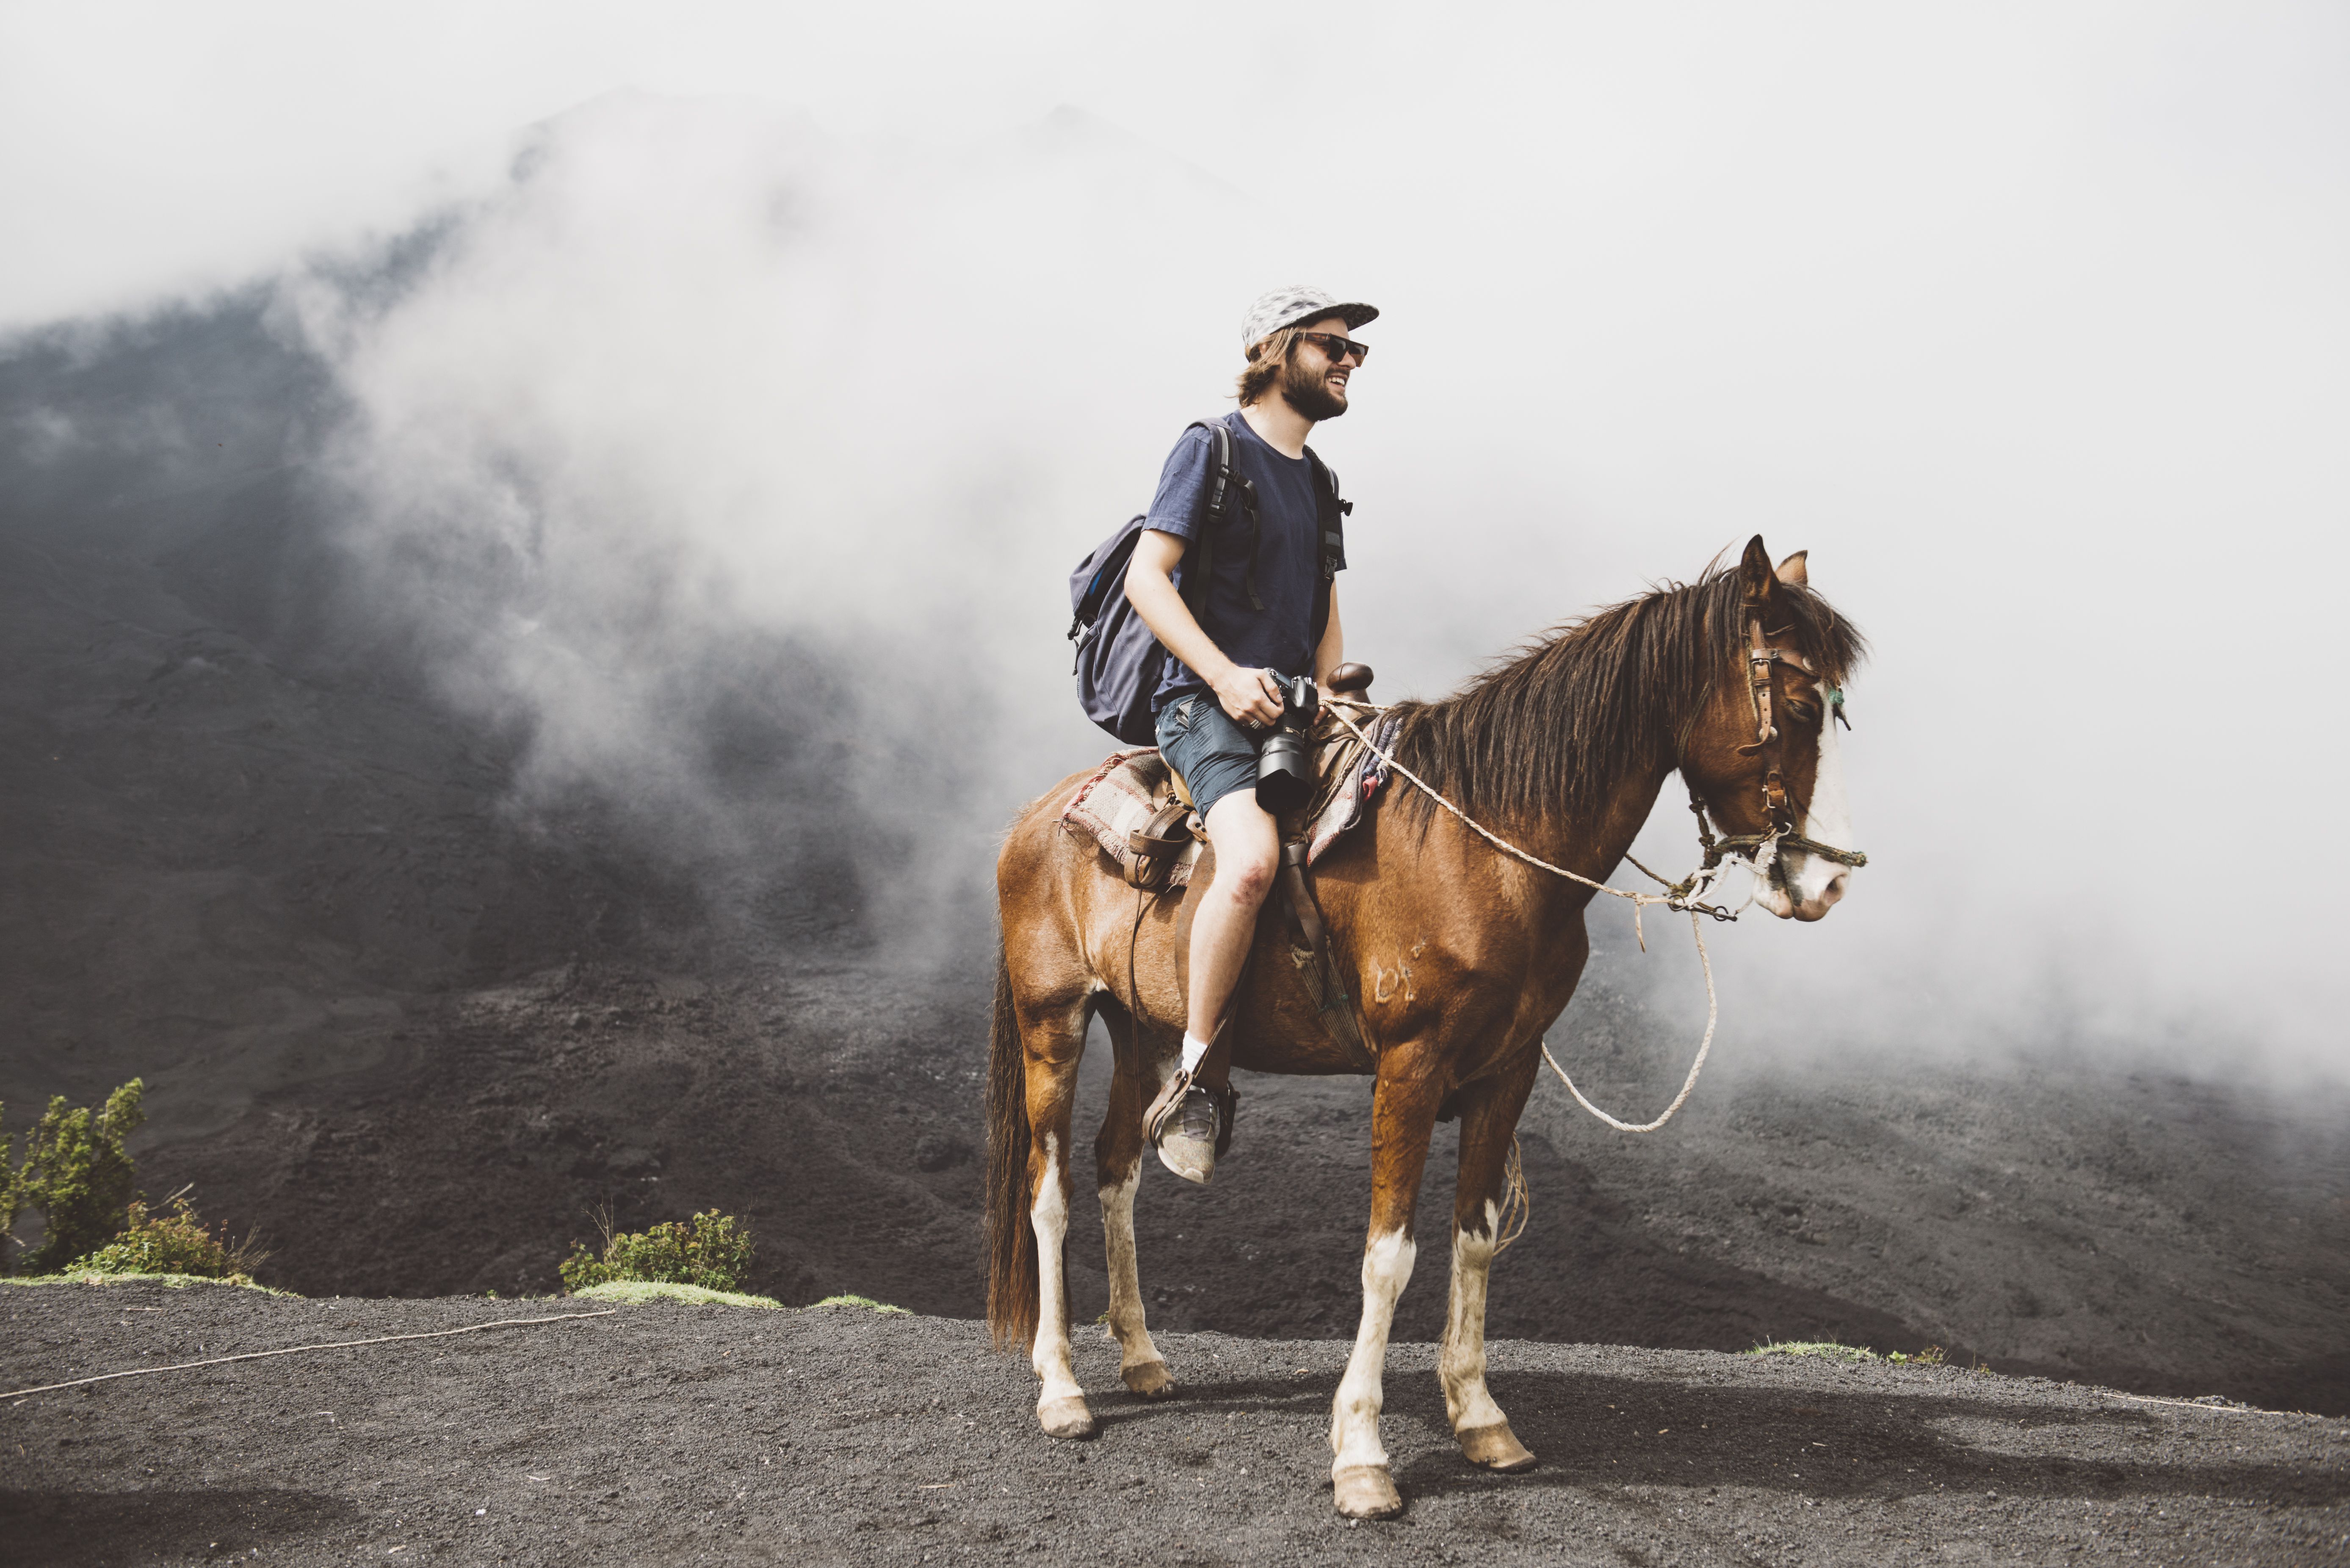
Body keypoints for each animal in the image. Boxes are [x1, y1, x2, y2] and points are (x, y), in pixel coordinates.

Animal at [982, 536, 1861, 1523]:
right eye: (1798, 706)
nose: (1826, 881)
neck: (1483, 847)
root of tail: (1033, 818)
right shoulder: (1410, 1068)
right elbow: (1388, 1256)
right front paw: (1363, 1455)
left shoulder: (1506, 1072)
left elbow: (1473, 1237)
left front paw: (1480, 1419)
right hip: (1053, 1020)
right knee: (1049, 1189)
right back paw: (1062, 1388)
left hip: (1140, 1027)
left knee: (1117, 1169)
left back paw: (1140, 1356)